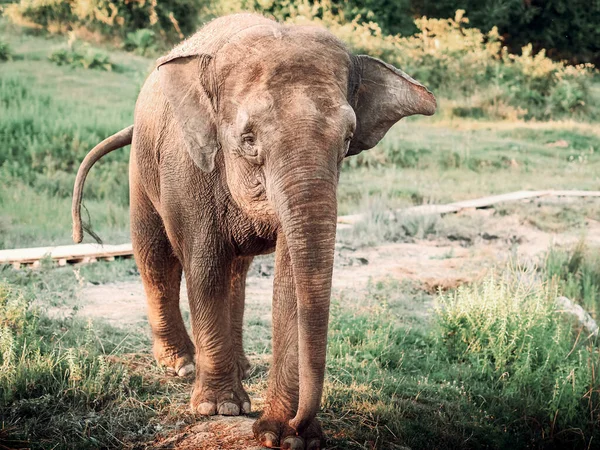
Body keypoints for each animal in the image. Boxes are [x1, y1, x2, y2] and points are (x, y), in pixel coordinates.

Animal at [71, 12, 436, 448]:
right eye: (248, 140)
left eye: (348, 139)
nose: (297, 424)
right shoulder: (188, 168)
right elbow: (204, 266)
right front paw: (221, 409)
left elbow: (289, 283)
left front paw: (282, 436)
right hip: (142, 169)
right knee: (156, 256)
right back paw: (181, 365)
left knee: (236, 271)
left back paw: (241, 367)